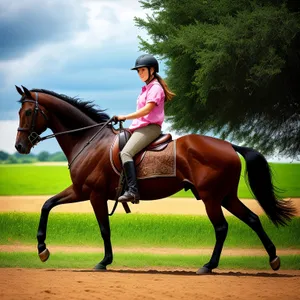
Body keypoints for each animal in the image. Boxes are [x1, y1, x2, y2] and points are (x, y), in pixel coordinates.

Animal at [14, 85, 296, 274]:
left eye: (27, 112)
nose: (19, 146)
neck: (88, 140)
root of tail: (228, 145)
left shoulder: (93, 194)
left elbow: (104, 228)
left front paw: (104, 262)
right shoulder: (79, 190)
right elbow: (47, 205)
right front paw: (42, 249)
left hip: (211, 198)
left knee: (221, 227)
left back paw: (209, 265)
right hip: (226, 196)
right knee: (253, 218)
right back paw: (273, 258)